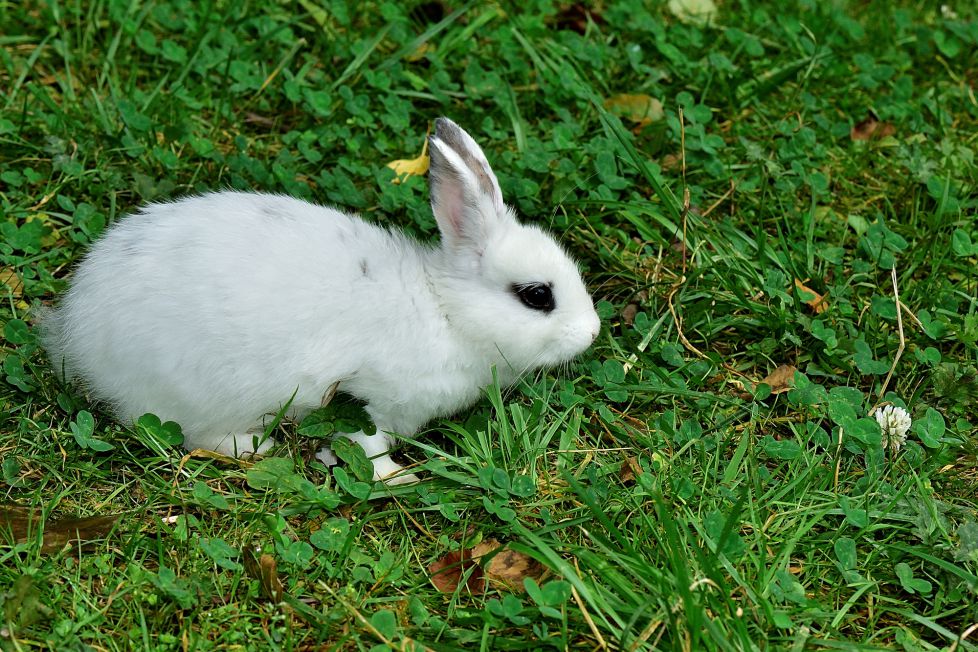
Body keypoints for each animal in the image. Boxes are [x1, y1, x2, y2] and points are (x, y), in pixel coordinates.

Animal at [42, 117, 601, 484]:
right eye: (536, 296)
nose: (592, 332)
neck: (446, 310)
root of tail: (76, 332)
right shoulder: (372, 399)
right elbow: (366, 445)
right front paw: (395, 477)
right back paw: (255, 446)